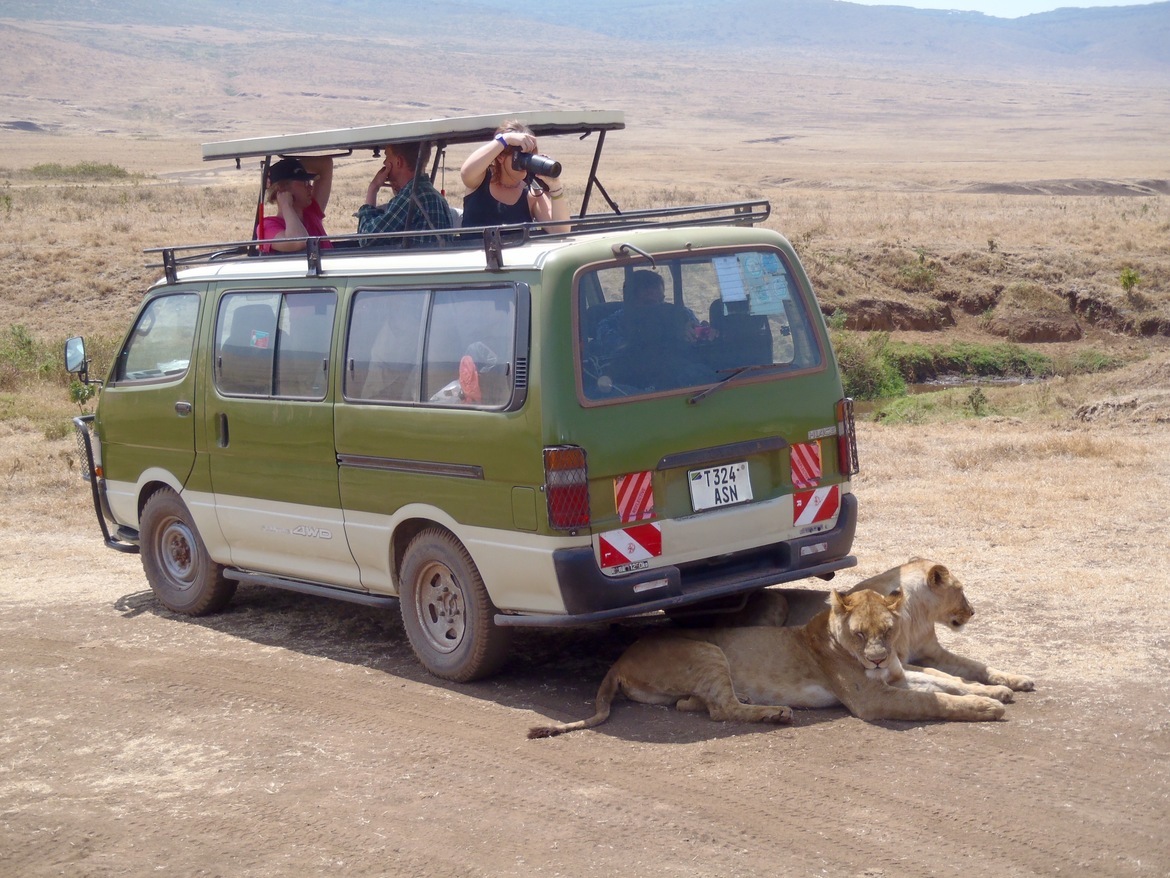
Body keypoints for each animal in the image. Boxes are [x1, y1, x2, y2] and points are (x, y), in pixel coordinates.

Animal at [527, 588, 1005, 739]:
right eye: (859, 633)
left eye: (886, 631)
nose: (875, 658)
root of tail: (620, 657)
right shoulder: (873, 699)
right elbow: (935, 702)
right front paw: (987, 707)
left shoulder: (896, 678)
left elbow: (944, 682)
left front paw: (995, 689)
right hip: (709, 652)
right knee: (723, 710)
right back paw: (776, 713)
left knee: (694, 705)